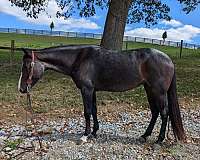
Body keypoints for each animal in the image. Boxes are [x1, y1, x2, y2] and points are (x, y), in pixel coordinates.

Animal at [18, 44, 187, 144]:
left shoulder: (86, 89)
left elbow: (87, 112)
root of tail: (169, 60)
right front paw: (94, 132)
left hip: (158, 92)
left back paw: (159, 139)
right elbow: (94, 110)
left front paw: (85, 135)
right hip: (149, 89)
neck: (79, 58)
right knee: (155, 112)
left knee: (164, 113)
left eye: (26, 66)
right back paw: (145, 136)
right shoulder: (92, 90)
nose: (21, 89)